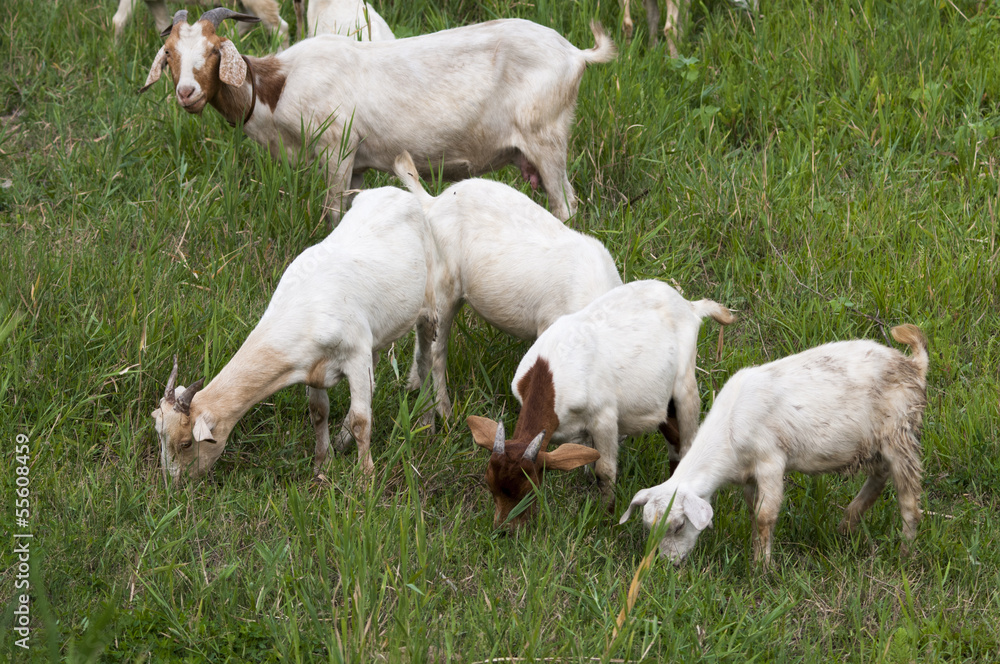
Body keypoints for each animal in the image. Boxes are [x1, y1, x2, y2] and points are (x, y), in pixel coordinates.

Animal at [113, 0, 289, 47]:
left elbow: (118, 20)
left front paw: (115, 50)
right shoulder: (154, 2)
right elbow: (163, 24)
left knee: (280, 29)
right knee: (248, 20)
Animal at [139, 9, 616, 226]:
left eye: (214, 52)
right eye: (170, 54)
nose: (187, 93)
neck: (278, 87)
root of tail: (575, 53)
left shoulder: (337, 147)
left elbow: (332, 212)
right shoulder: (360, 163)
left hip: (546, 137)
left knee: (567, 204)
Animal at [151, 186, 437, 483]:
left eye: (186, 443)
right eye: (160, 436)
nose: (173, 485)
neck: (305, 308)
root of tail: (397, 192)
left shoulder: (356, 356)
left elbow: (361, 420)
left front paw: (364, 479)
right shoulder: (315, 366)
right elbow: (319, 413)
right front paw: (323, 465)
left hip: (430, 295)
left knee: (426, 350)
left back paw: (428, 419)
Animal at [469, 280, 733, 528]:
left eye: (529, 490)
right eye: (490, 485)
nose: (505, 530)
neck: (549, 374)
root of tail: (689, 306)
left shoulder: (603, 417)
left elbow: (604, 471)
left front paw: (607, 516)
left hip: (685, 384)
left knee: (687, 442)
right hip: (663, 400)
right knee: (675, 440)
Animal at [620, 325, 929, 565]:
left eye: (680, 525)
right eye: (648, 528)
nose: (668, 563)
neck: (729, 428)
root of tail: (913, 365)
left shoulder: (770, 461)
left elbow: (764, 515)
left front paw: (762, 568)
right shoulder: (746, 474)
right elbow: (752, 510)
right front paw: (757, 551)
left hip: (899, 433)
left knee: (908, 501)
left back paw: (904, 554)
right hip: (876, 444)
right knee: (879, 477)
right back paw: (846, 525)